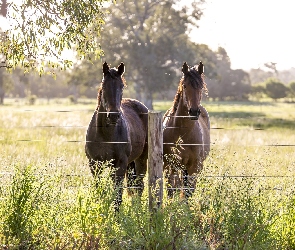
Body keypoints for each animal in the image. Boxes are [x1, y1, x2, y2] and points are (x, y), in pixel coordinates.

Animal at [85, 61, 149, 208]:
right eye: (104, 85)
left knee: (139, 186)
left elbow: (118, 196)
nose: (113, 115)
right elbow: (99, 190)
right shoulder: (94, 164)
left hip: (141, 159)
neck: (105, 135)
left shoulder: (120, 164)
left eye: (122, 86)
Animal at [164, 61, 210, 198]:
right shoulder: (171, 165)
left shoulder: (194, 167)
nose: (194, 111)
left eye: (201, 87)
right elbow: (171, 190)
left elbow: (188, 192)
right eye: (185, 86)